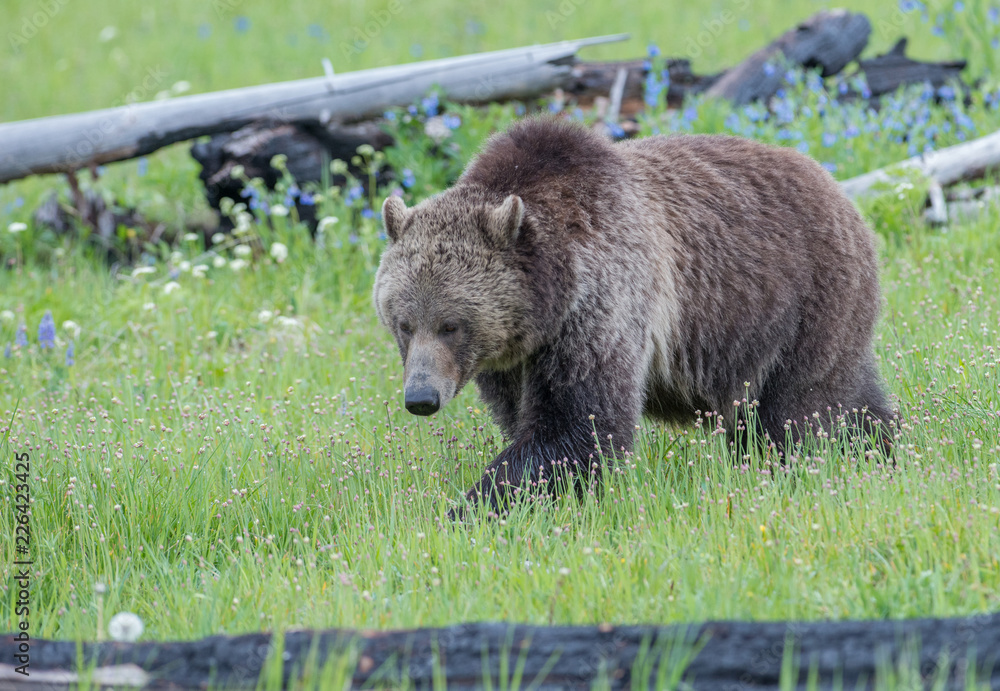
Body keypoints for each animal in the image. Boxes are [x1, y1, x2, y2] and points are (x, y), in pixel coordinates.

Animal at [373, 117, 893, 515]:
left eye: (450, 324)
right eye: (403, 323)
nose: (420, 397)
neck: (547, 304)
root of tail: (835, 185)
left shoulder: (600, 306)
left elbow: (578, 426)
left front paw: (474, 509)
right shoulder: (509, 360)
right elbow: (525, 417)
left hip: (798, 303)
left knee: (799, 411)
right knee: (854, 400)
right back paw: (884, 449)